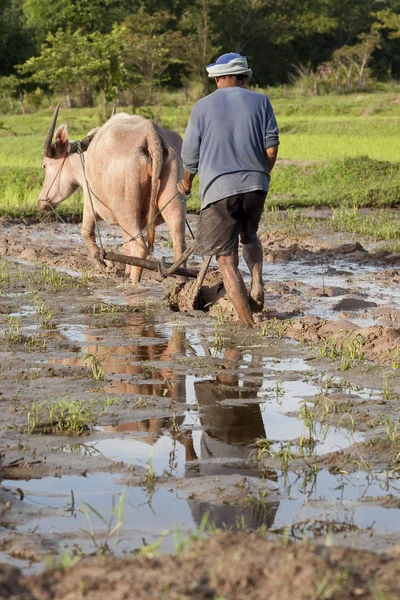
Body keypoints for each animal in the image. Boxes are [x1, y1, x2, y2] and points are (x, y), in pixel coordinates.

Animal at [38, 106, 187, 284]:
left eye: (45, 165)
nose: (41, 201)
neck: (85, 155)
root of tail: (151, 135)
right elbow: (126, 245)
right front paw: (124, 270)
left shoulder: (89, 201)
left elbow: (86, 232)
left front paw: (104, 263)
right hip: (173, 200)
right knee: (179, 244)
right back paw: (182, 283)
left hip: (127, 211)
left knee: (140, 248)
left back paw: (134, 283)